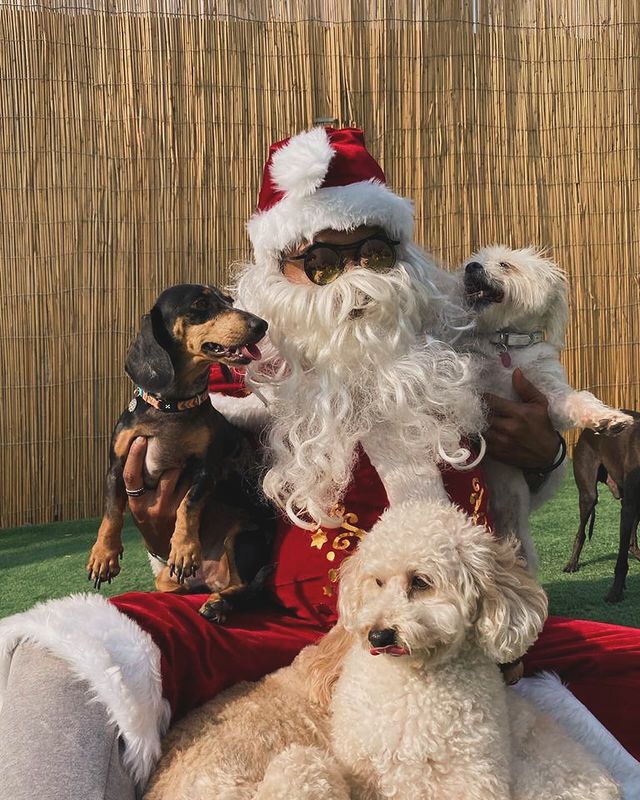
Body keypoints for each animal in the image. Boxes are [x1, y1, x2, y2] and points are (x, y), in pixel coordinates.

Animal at [458, 245, 632, 568]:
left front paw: (609, 419)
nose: (471, 268)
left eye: (505, 264)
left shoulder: (549, 392)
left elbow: (578, 399)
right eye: (471, 261)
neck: (506, 345)